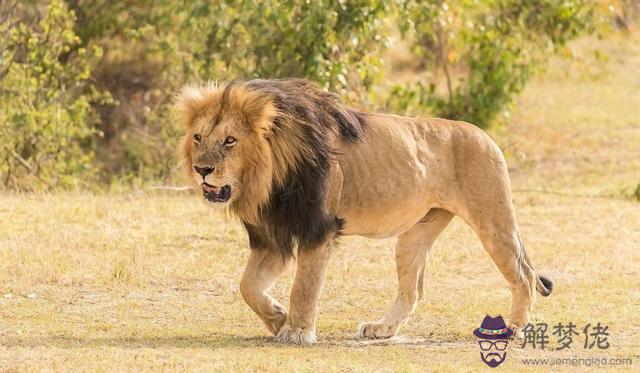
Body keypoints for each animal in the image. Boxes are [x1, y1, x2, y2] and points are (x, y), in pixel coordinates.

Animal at [174, 77, 552, 342]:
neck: (267, 178)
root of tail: (484, 134)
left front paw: (297, 331)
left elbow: (304, 287)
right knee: (413, 290)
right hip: (414, 236)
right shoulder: (273, 237)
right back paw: (383, 329)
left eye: (230, 141)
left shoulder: (317, 230)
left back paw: (514, 328)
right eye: (198, 137)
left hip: (493, 221)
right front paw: (279, 318)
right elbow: (248, 286)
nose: (202, 169)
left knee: (524, 277)